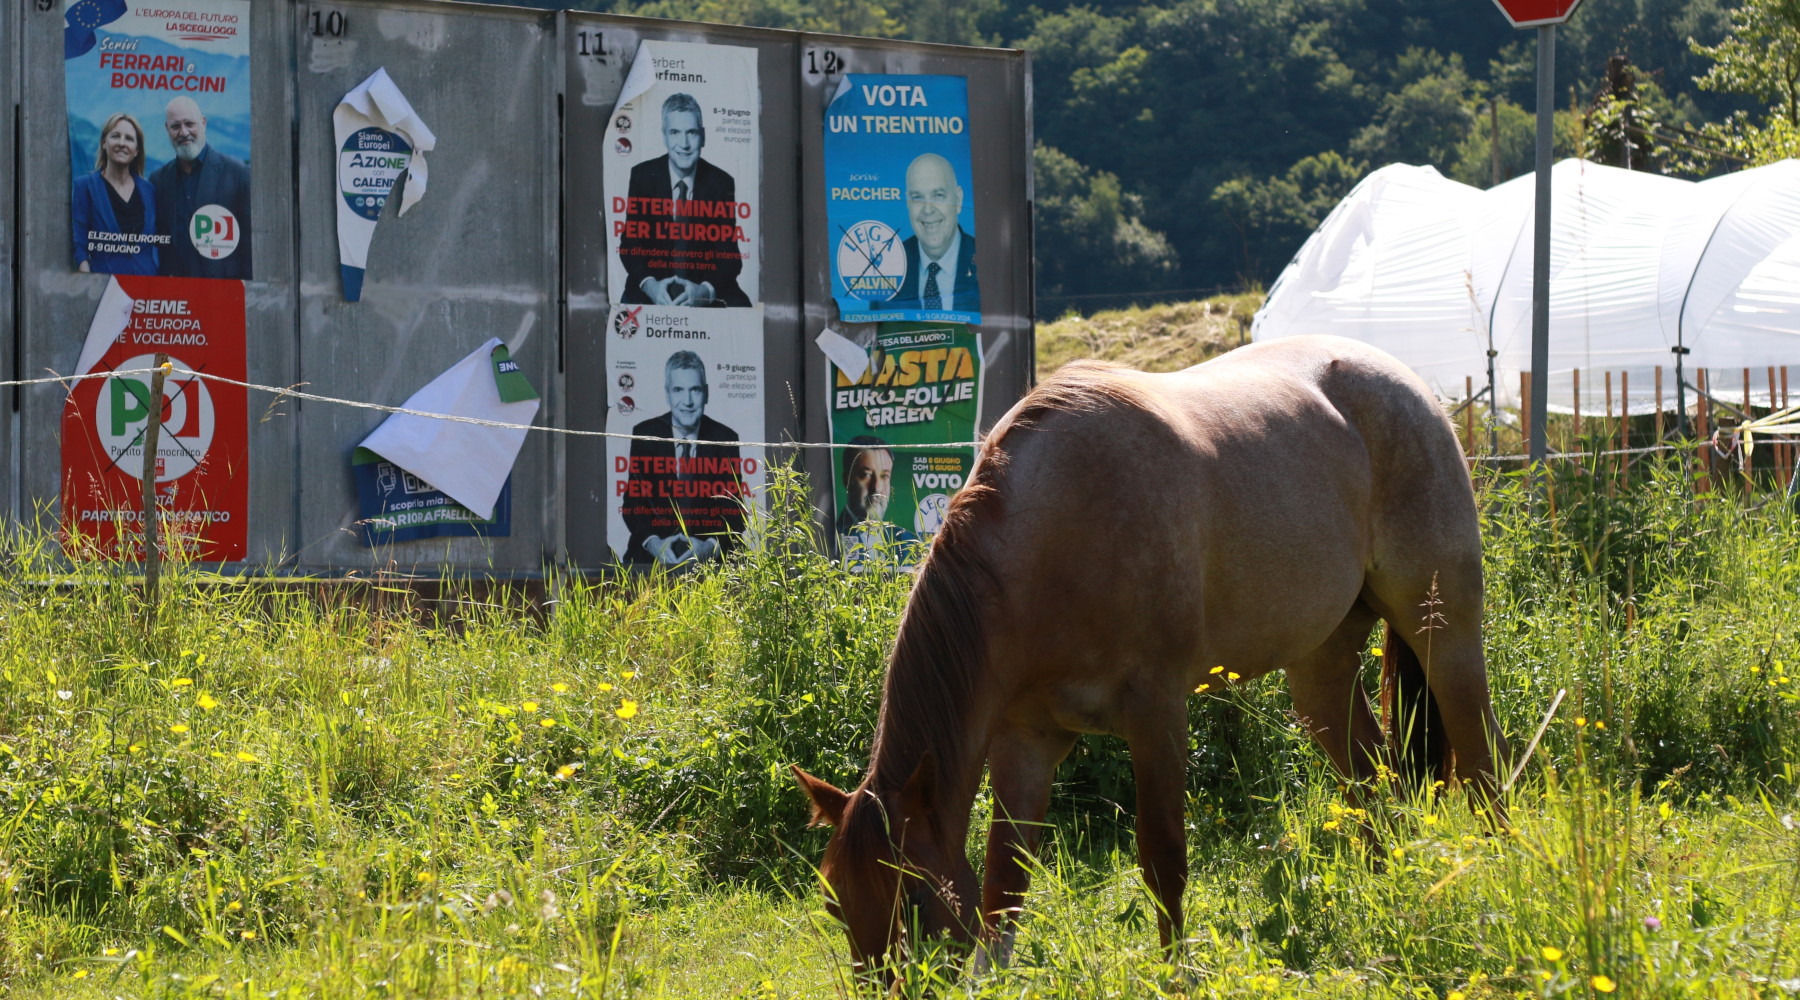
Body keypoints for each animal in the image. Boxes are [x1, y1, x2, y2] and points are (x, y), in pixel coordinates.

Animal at [792, 334, 1508, 979]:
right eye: (834, 904)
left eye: (912, 895)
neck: (1053, 535)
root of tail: (1415, 391)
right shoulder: (1024, 740)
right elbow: (1004, 878)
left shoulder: (1156, 712)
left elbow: (1162, 857)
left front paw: (1175, 972)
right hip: (1320, 668)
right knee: (1373, 782)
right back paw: (1392, 896)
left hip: (1444, 631)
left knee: (1484, 760)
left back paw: (1502, 883)